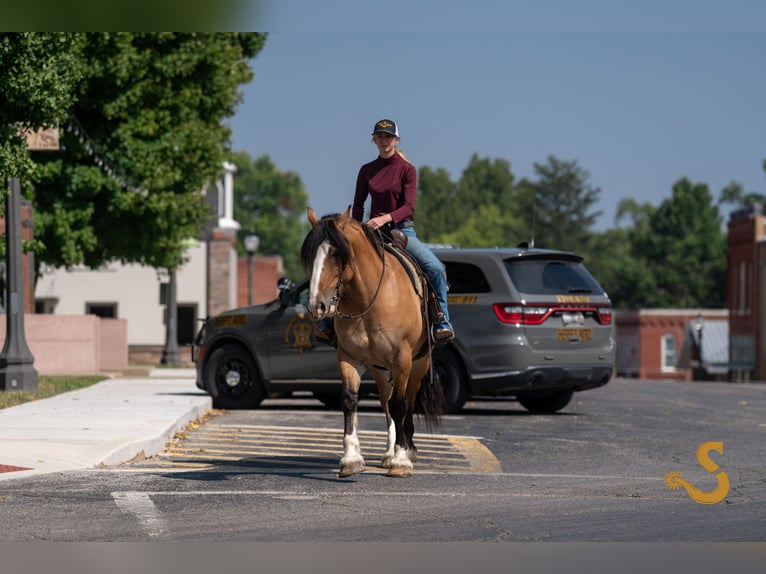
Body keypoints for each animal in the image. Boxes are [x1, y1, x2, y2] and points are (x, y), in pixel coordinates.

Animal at [300, 206, 445, 478]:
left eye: (335, 252)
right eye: (311, 254)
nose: (316, 306)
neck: (368, 300)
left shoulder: (402, 360)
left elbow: (400, 406)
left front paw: (401, 460)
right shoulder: (348, 357)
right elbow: (349, 400)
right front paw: (351, 458)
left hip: (418, 365)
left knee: (407, 402)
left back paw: (408, 449)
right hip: (379, 368)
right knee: (386, 403)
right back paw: (388, 453)